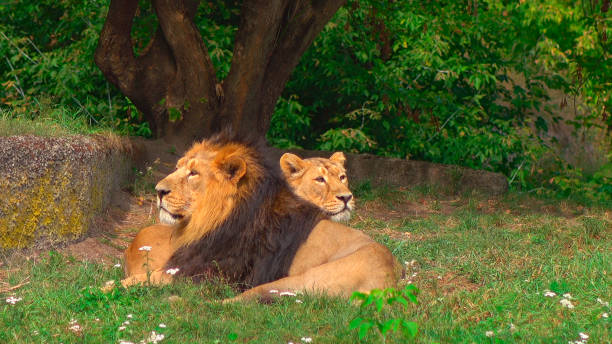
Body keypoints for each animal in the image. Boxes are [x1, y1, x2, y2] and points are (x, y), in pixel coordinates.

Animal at [123, 134, 402, 300]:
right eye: (177, 167)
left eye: (193, 173)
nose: (159, 191)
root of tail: (391, 279)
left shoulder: (210, 272)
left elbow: (141, 279)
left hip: (290, 282)